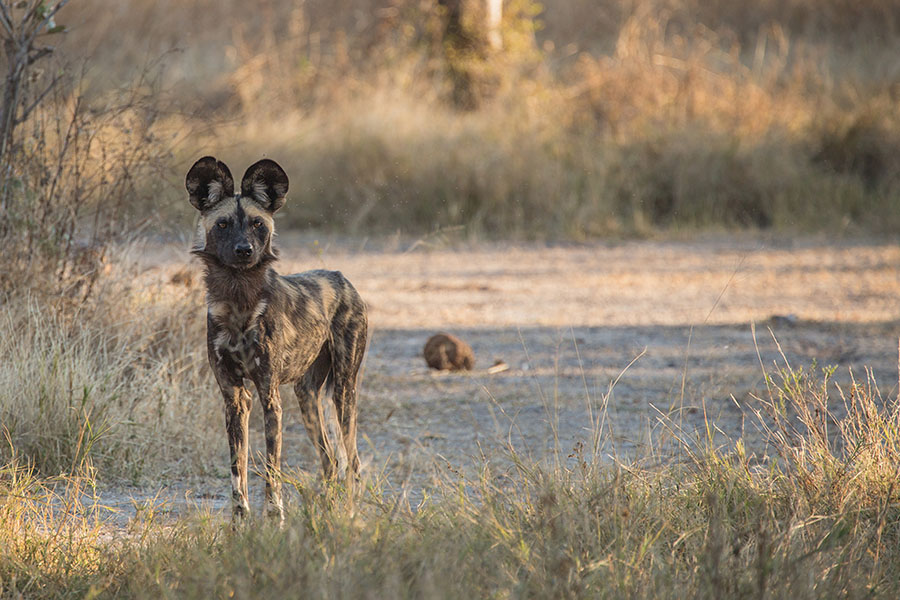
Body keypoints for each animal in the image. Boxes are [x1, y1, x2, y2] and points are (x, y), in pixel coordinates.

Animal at [185, 157, 368, 524]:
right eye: (223, 224)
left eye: (258, 224)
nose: (244, 250)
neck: (239, 303)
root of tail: (343, 278)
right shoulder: (235, 398)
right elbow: (237, 467)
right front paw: (240, 520)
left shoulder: (270, 396)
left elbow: (271, 467)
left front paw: (275, 517)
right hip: (307, 397)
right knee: (330, 461)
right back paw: (325, 512)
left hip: (343, 393)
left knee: (351, 462)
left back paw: (351, 515)